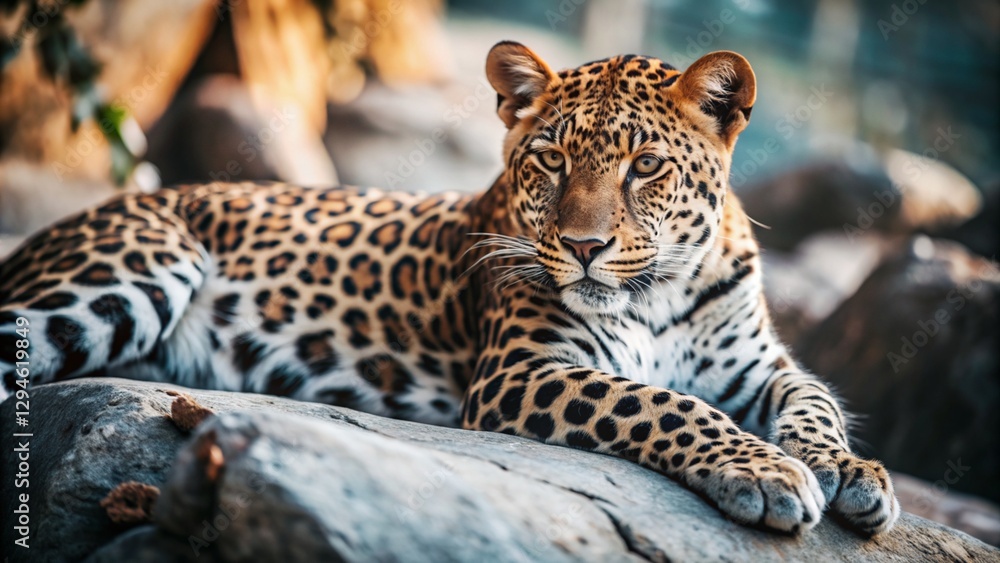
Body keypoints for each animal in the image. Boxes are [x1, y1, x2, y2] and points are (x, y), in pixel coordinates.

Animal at [0, 41, 898, 535]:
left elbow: (815, 400)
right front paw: (766, 471)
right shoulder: (522, 371)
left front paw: (849, 470)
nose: (584, 247)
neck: (662, 293)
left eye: (646, 166)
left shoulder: (762, 366)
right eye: (551, 160)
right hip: (128, 269)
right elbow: (664, 402)